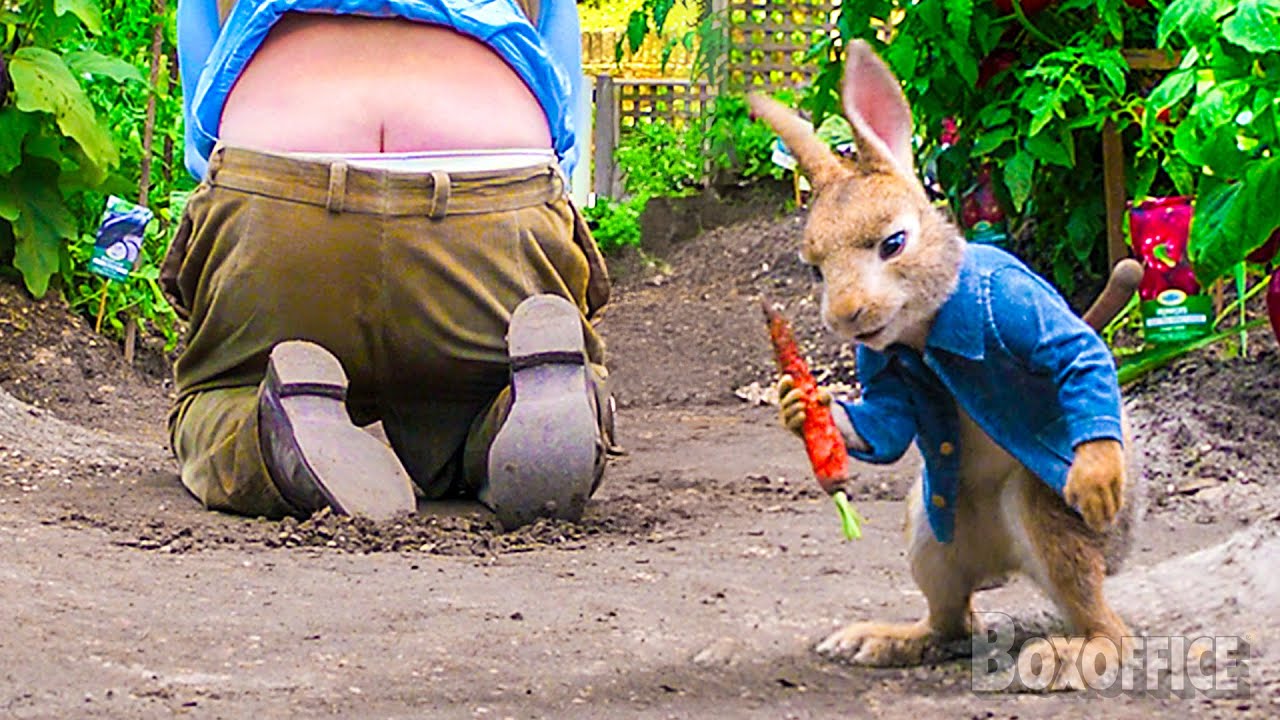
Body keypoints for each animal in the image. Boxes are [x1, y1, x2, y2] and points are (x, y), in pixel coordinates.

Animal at [750, 40, 1137, 689]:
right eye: (816, 270)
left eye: (894, 244)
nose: (849, 316)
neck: (923, 329)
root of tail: (1003, 564)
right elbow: (884, 425)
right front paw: (800, 404)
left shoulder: (1008, 303)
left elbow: (1077, 356)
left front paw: (1098, 477)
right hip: (929, 535)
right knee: (951, 622)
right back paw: (880, 640)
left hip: (1048, 523)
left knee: (1109, 628)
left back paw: (1069, 656)